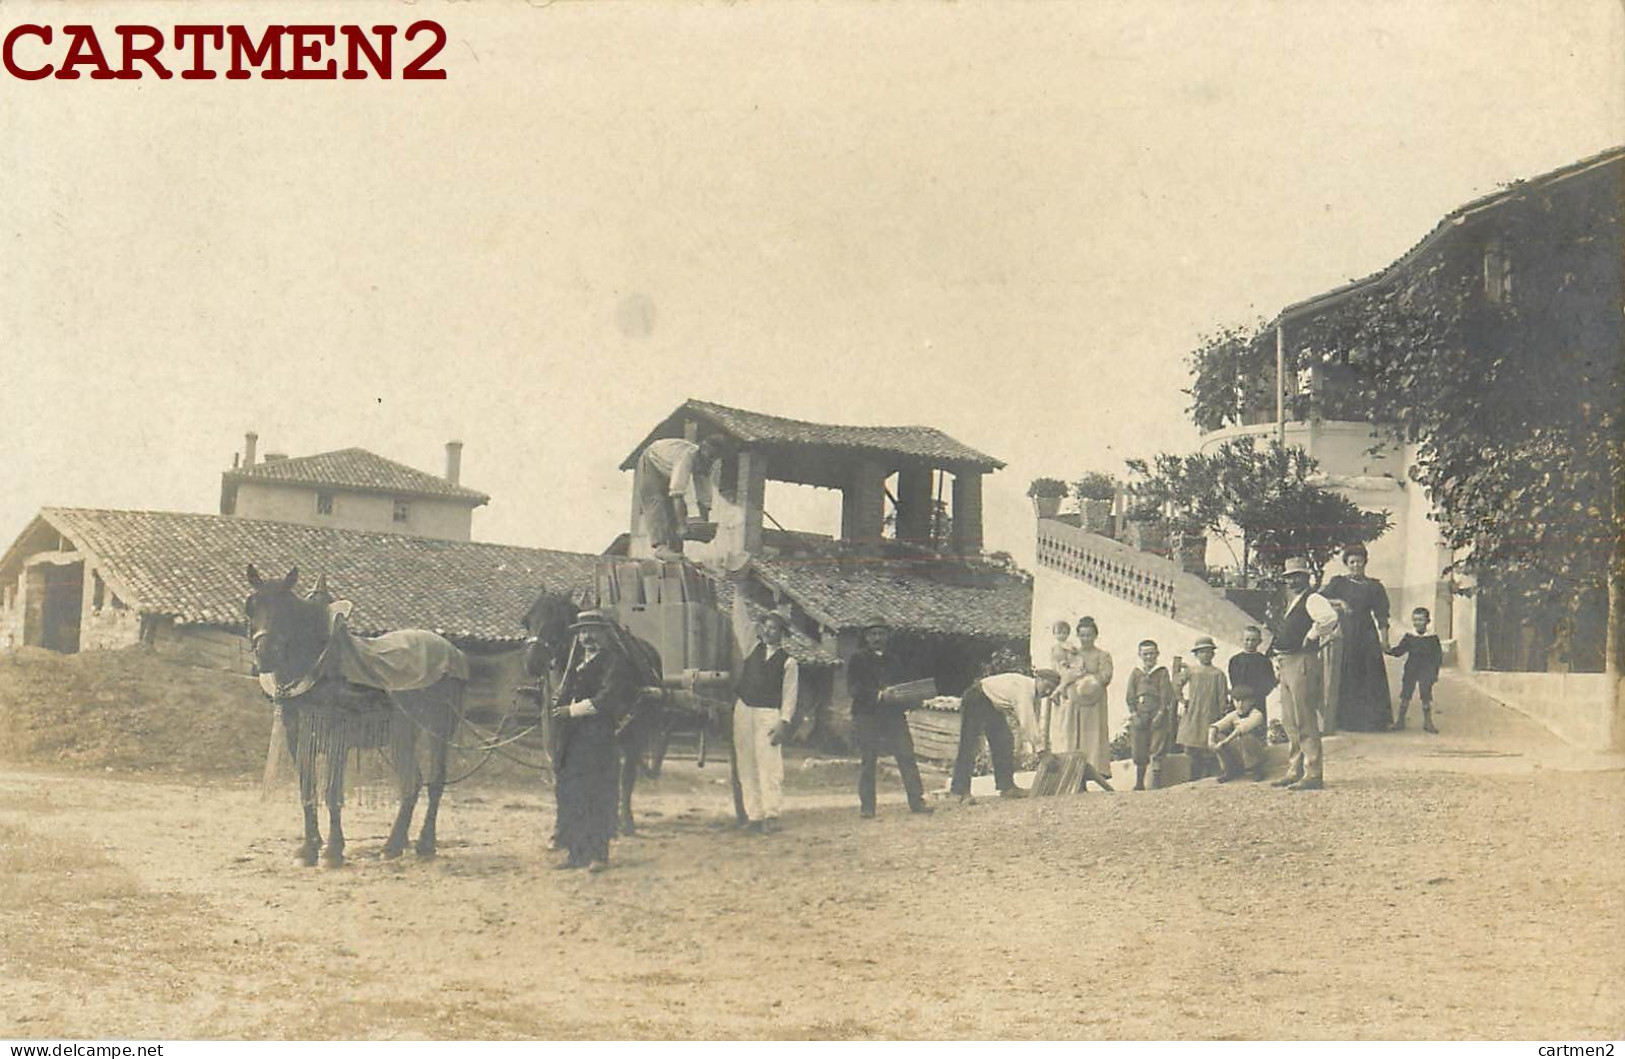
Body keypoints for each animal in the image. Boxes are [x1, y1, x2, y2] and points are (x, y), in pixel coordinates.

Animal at [247, 565, 468, 864]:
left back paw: (423, 844)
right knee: (412, 781)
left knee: (434, 781)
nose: (265, 656)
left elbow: (331, 790)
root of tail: (452, 651)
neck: (317, 662)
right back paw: (394, 845)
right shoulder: (296, 734)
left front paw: (333, 850)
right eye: (252, 606)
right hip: (404, 730)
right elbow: (307, 787)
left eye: (286, 609)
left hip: (438, 728)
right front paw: (309, 848)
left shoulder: (337, 732)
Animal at [520, 591, 659, 831]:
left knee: (626, 773)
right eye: (527, 620)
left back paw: (625, 820)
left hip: (634, 728)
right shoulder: (554, 727)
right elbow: (560, 771)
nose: (532, 662)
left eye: (557, 621)